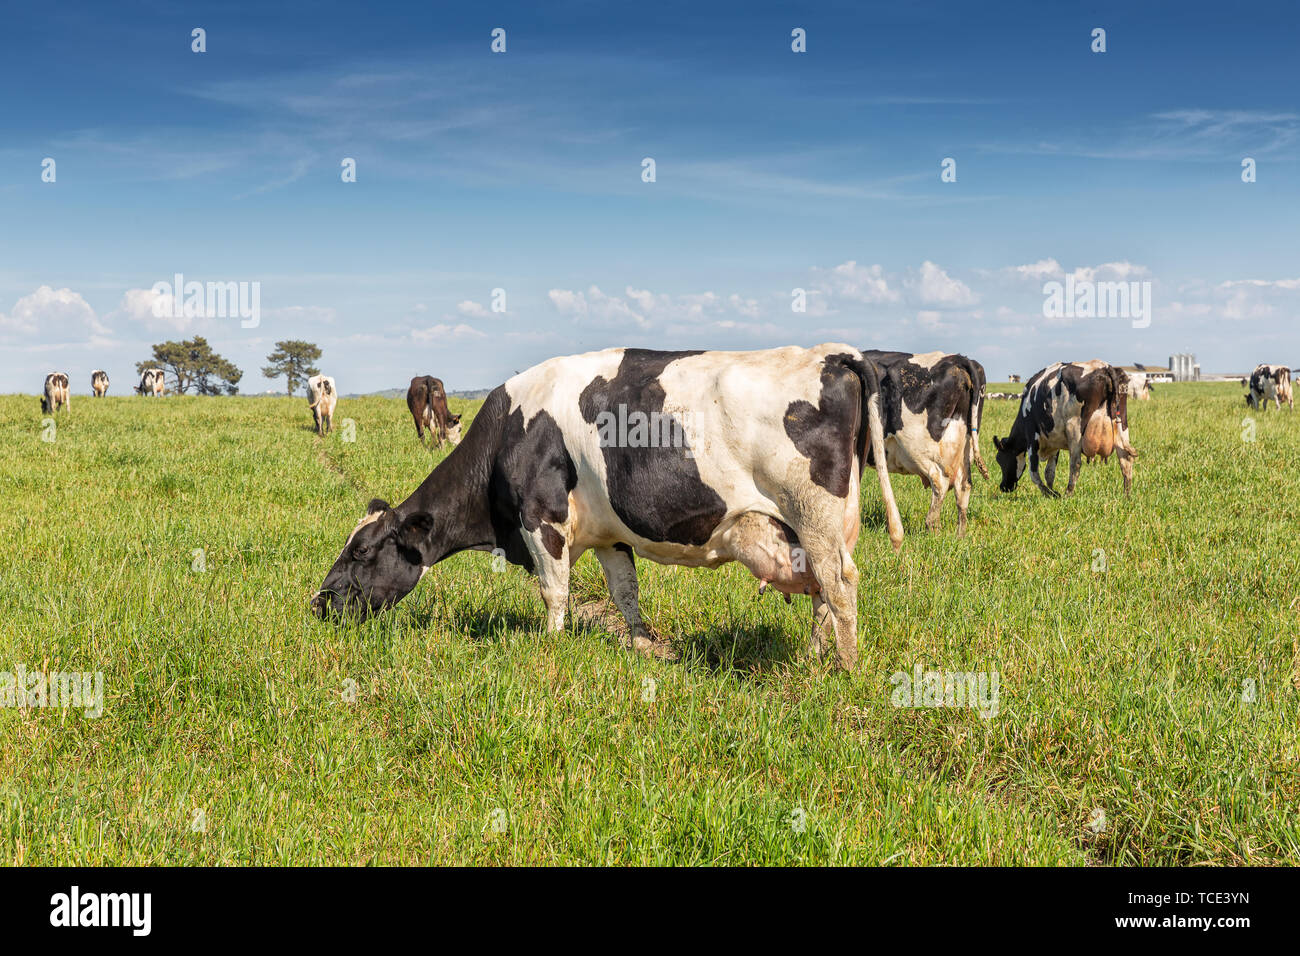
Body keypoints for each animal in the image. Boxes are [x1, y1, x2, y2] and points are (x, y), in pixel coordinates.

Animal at [311, 345, 905, 671]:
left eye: (362, 551)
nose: (319, 602)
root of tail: (833, 352)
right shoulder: (610, 533)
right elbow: (625, 594)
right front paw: (644, 645)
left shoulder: (541, 516)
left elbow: (554, 591)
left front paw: (550, 645)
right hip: (812, 528)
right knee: (822, 592)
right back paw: (811, 657)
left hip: (816, 516)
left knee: (840, 586)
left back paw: (843, 669)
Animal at [860, 350, 989, 535]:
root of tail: (959, 359)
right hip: (964, 447)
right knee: (963, 485)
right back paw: (960, 533)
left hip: (919, 446)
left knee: (940, 480)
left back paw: (932, 526)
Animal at [992, 361, 1138, 497]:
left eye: (1000, 460)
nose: (1003, 487)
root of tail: (1104, 367)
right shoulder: (1053, 441)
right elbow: (1049, 472)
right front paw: (1052, 492)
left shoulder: (1031, 437)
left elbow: (1034, 473)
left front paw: (1050, 493)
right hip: (1121, 425)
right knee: (1125, 459)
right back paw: (1127, 495)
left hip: (1075, 428)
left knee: (1075, 463)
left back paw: (1068, 493)